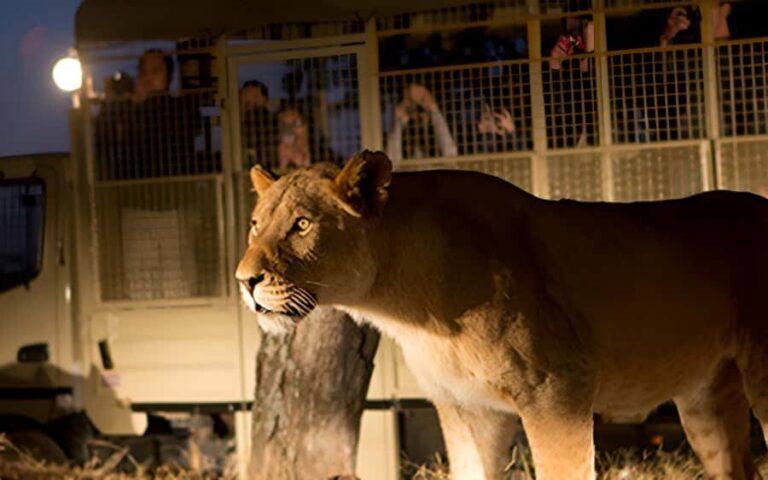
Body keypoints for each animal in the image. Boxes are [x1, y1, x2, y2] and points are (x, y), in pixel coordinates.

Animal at [236, 150, 768, 480]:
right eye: (256, 224)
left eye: (302, 224)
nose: (245, 280)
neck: (407, 307)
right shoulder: (464, 407)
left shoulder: (559, 393)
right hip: (705, 399)